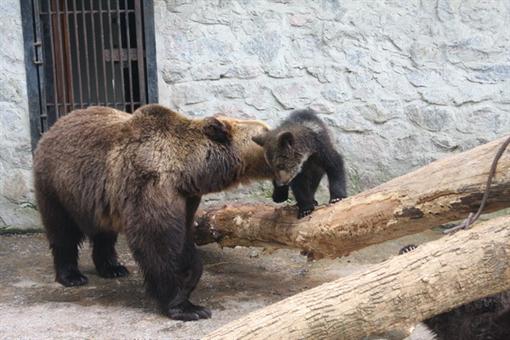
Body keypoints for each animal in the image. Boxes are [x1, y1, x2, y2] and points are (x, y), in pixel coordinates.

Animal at [31, 105, 270, 320]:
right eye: (266, 131)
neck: (187, 170)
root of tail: (55, 125)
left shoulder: (186, 199)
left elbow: (183, 239)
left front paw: (190, 275)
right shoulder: (150, 184)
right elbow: (157, 241)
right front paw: (188, 307)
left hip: (98, 199)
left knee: (104, 233)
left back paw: (113, 268)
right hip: (57, 186)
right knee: (63, 231)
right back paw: (72, 275)